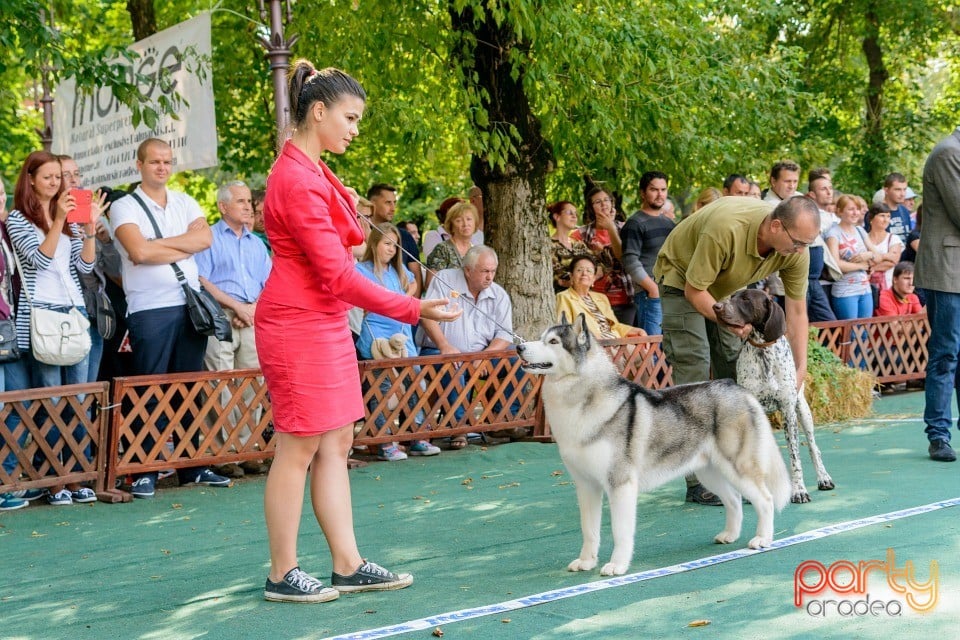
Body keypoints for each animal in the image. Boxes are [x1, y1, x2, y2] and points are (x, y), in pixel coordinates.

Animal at [712, 288, 832, 502]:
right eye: (732, 296)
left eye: (745, 299)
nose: (716, 306)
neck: (763, 351)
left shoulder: (788, 413)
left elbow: (795, 457)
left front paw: (799, 490)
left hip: (803, 412)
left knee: (813, 447)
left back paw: (823, 477)